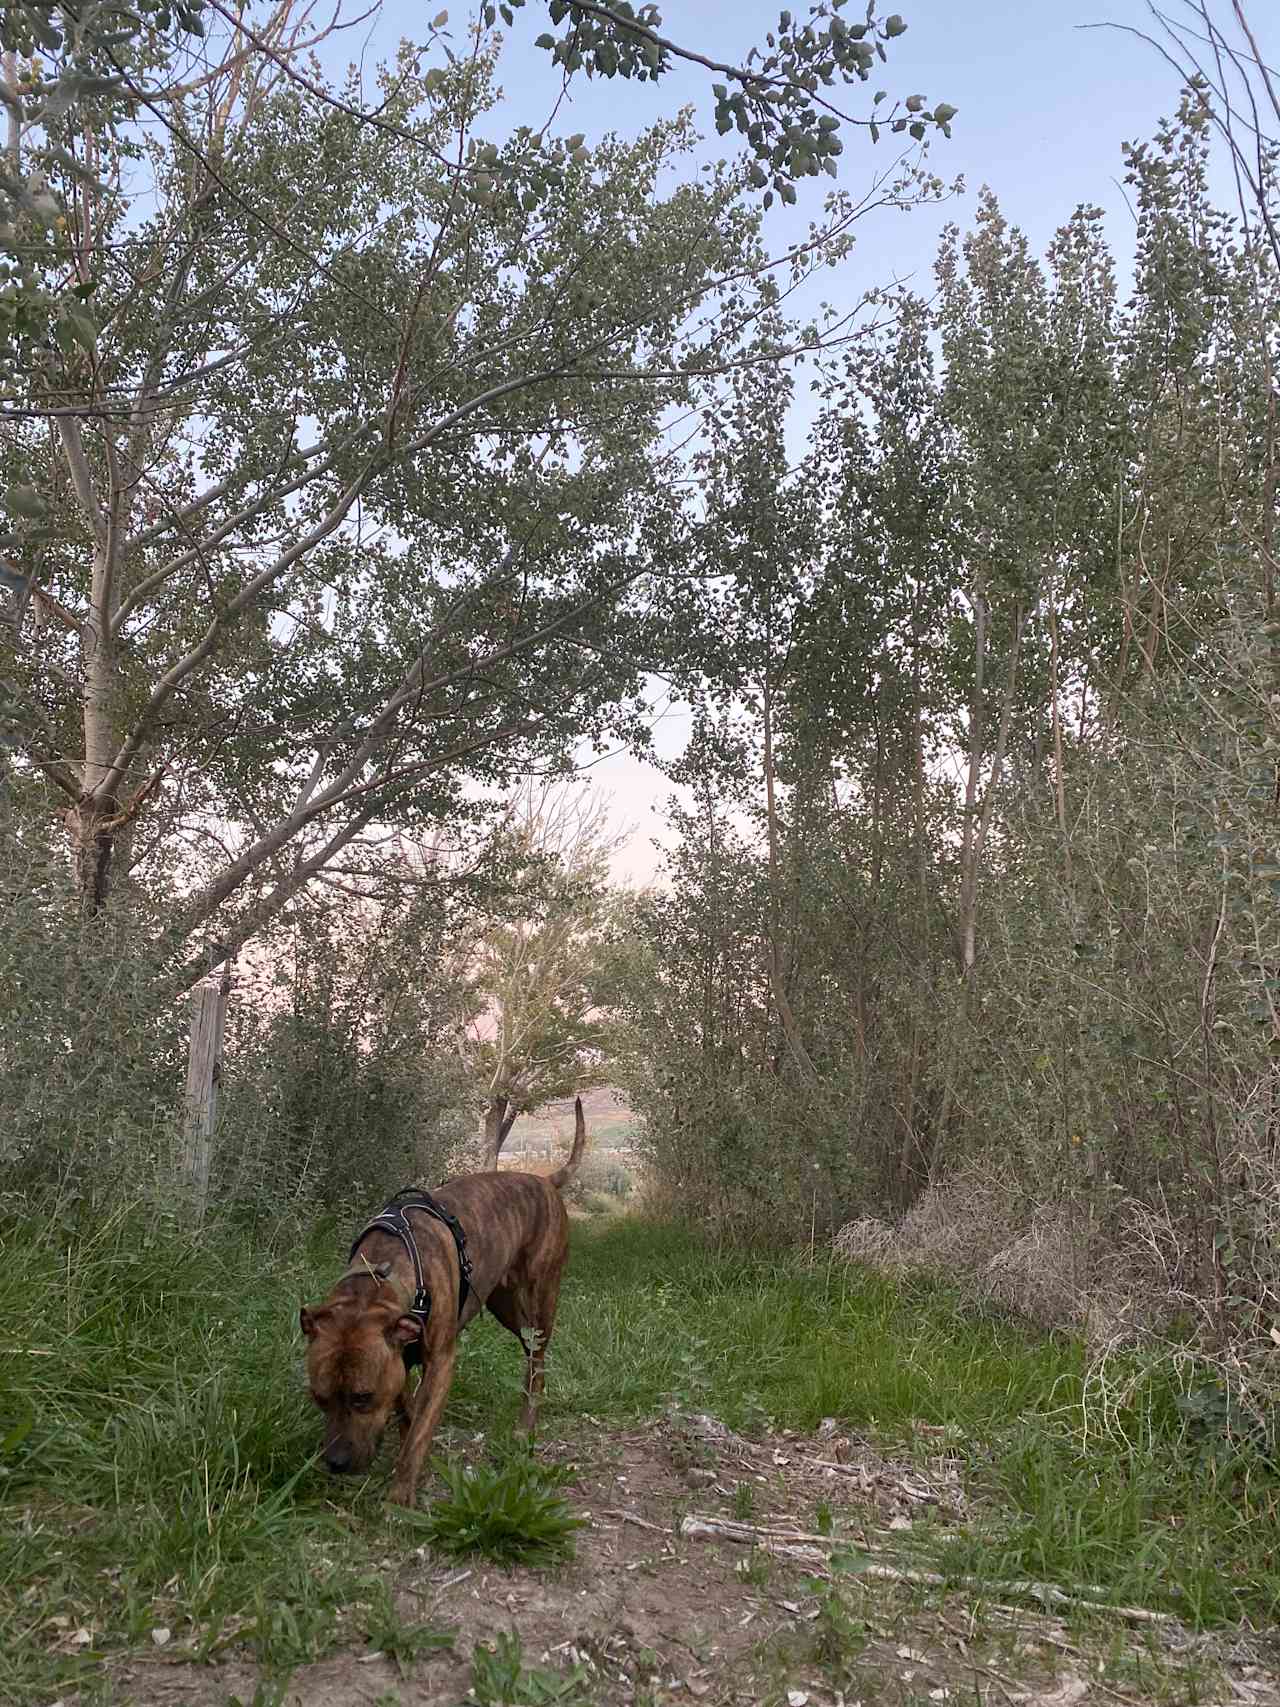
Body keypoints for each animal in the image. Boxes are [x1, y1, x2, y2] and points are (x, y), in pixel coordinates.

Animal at [300, 1099, 587, 1502]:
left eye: (362, 1397)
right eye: (320, 1398)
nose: (336, 1463)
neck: (380, 1275)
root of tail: (544, 1180)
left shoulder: (440, 1363)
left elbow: (417, 1434)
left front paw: (400, 1495)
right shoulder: (398, 1358)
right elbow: (407, 1412)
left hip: (538, 1304)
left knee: (537, 1361)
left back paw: (524, 1426)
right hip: (504, 1306)